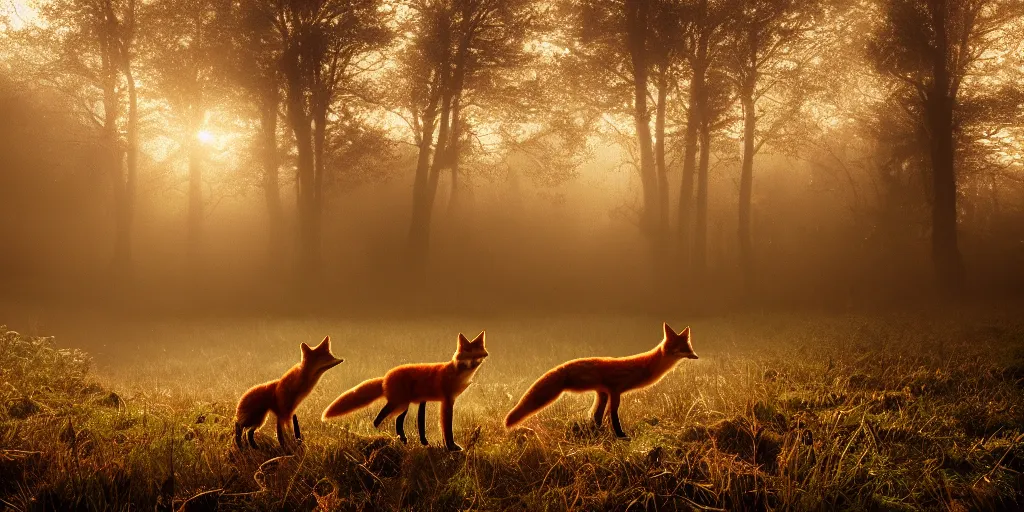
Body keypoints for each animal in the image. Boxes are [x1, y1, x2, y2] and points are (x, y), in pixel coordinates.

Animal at [325, 329, 489, 450]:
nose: (472, 363)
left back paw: (402, 440)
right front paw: (451, 447)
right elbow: (446, 427)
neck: (456, 373)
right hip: (399, 404)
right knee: (379, 419)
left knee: (397, 422)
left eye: (477, 354)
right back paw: (381, 435)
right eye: (467, 353)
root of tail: (385, 377)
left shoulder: (443, 401)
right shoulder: (447, 401)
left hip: (404, 406)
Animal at [503, 321, 696, 438]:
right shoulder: (615, 390)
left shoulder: (604, 392)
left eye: (689, 347)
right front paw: (620, 436)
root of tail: (563, 368)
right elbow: (613, 415)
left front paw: (602, 433)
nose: (696, 356)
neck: (645, 366)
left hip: (598, 392)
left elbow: (598, 416)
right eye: (681, 348)